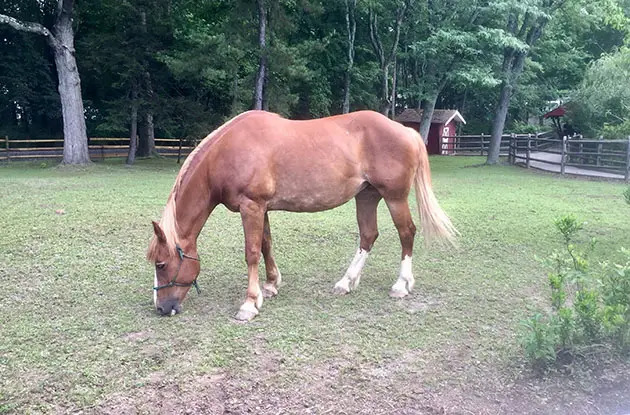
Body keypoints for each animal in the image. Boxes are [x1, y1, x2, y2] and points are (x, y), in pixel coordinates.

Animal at [149, 109, 460, 320]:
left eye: (161, 265)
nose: (162, 308)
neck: (227, 153)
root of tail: (407, 131)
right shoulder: (262, 208)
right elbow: (266, 244)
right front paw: (271, 286)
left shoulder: (252, 207)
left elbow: (252, 252)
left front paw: (250, 303)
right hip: (367, 196)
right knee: (368, 235)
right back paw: (346, 282)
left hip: (394, 197)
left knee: (406, 233)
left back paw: (401, 285)